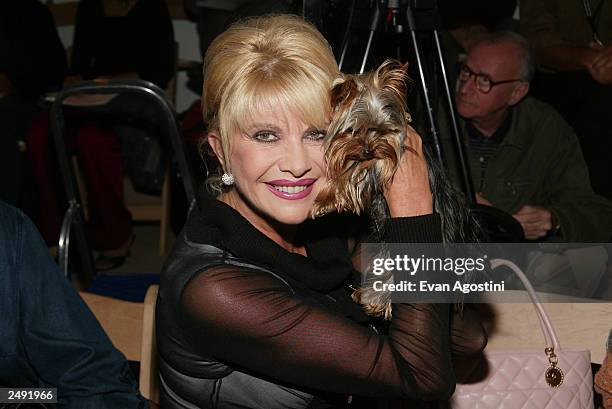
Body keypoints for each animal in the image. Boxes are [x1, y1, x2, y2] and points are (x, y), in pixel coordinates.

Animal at [314, 59, 476, 318]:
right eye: (352, 131)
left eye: (382, 130)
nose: (368, 151)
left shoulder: (385, 163)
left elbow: (354, 177)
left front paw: (325, 200)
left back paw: (375, 300)